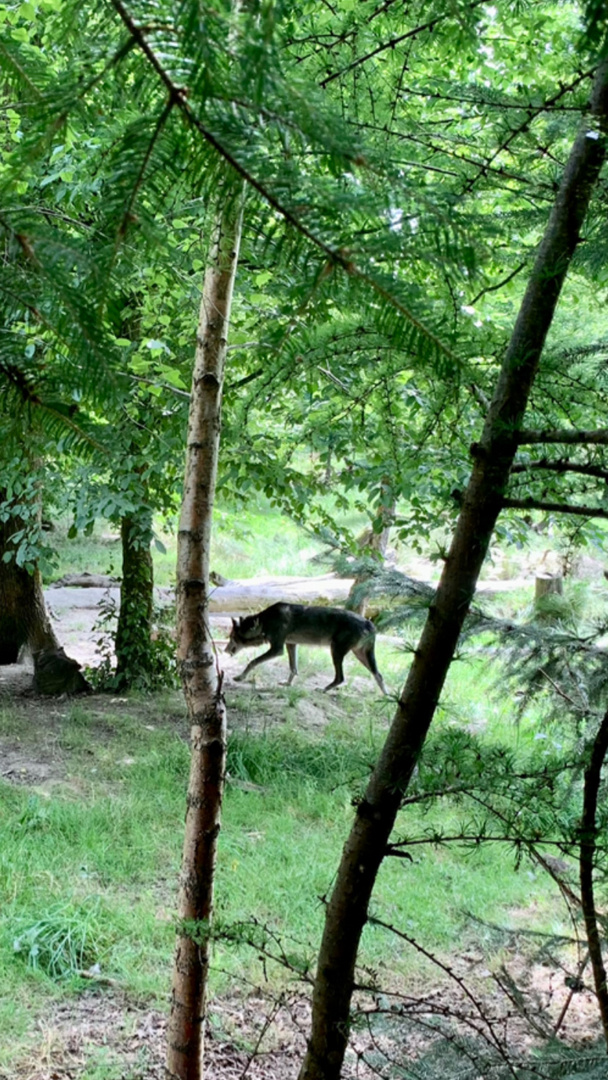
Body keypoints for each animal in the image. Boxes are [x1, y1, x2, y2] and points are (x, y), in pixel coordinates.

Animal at [225, 600, 388, 691]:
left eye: (232, 637)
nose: (225, 650)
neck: (265, 621)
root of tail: (368, 623)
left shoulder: (277, 649)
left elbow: (252, 662)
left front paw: (240, 677)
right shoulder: (291, 645)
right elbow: (293, 668)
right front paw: (287, 684)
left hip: (336, 652)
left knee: (340, 678)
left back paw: (323, 690)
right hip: (361, 656)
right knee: (379, 675)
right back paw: (386, 698)